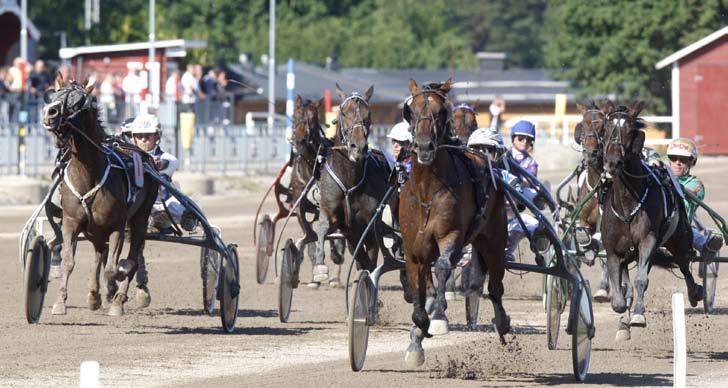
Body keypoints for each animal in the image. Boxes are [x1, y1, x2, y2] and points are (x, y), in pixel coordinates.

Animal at [41, 77, 158, 316]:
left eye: (78, 101)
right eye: (55, 95)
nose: (50, 112)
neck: (89, 174)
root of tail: (145, 157)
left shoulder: (117, 226)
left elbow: (114, 267)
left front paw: (116, 291)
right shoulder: (71, 222)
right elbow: (69, 261)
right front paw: (60, 302)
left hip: (140, 217)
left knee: (133, 254)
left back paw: (118, 296)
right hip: (95, 228)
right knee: (99, 253)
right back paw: (95, 295)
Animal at [312, 83, 392, 284]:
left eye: (367, 114)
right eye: (343, 113)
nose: (359, 147)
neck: (349, 182)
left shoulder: (369, 225)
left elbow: (368, 253)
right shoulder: (333, 215)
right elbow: (322, 228)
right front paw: (320, 267)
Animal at [398, 79, 512, 366]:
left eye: (441, 112)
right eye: (411, 111)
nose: (424, 146)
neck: (427, 191)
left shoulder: (451, 235)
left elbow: (442, 266)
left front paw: (438, 318)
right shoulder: (413, 248)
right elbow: (418, 291)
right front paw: (418, 333)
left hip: (494, 240)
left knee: (495, 287)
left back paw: (502, 322)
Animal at [600, 101, 704, 340]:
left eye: (630, 130)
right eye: (606, 129)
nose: (612, 162)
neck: (628, 202)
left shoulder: (648, 240)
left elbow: (641, 280)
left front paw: (638, 316)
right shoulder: (612, 249)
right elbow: (619, 292)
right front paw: (623, 316)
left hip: (679, 240)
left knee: (684, 264)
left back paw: (695, 292)